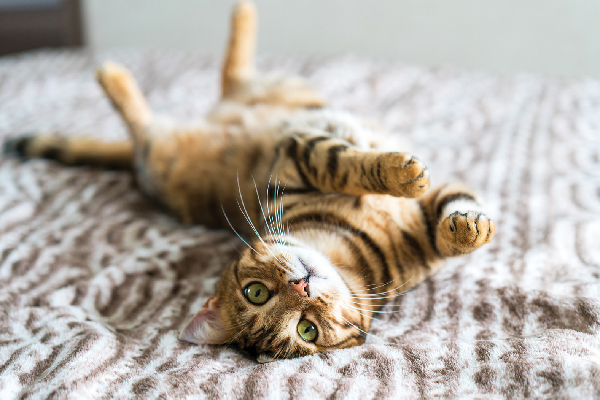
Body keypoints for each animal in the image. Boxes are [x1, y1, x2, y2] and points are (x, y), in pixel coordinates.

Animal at [2, 0, 494, 362]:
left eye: (307, 327)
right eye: (259, 296)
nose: (302, 288)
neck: (347, 252)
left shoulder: (424, 213)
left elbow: (450, 215)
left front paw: (468, 226)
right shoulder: (296, 157)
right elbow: (342, 161)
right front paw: (403, 174)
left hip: (272, 93)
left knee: (231, 77)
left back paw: (240, 15)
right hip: (162, 158)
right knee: (146, 126)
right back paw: (114, 74)